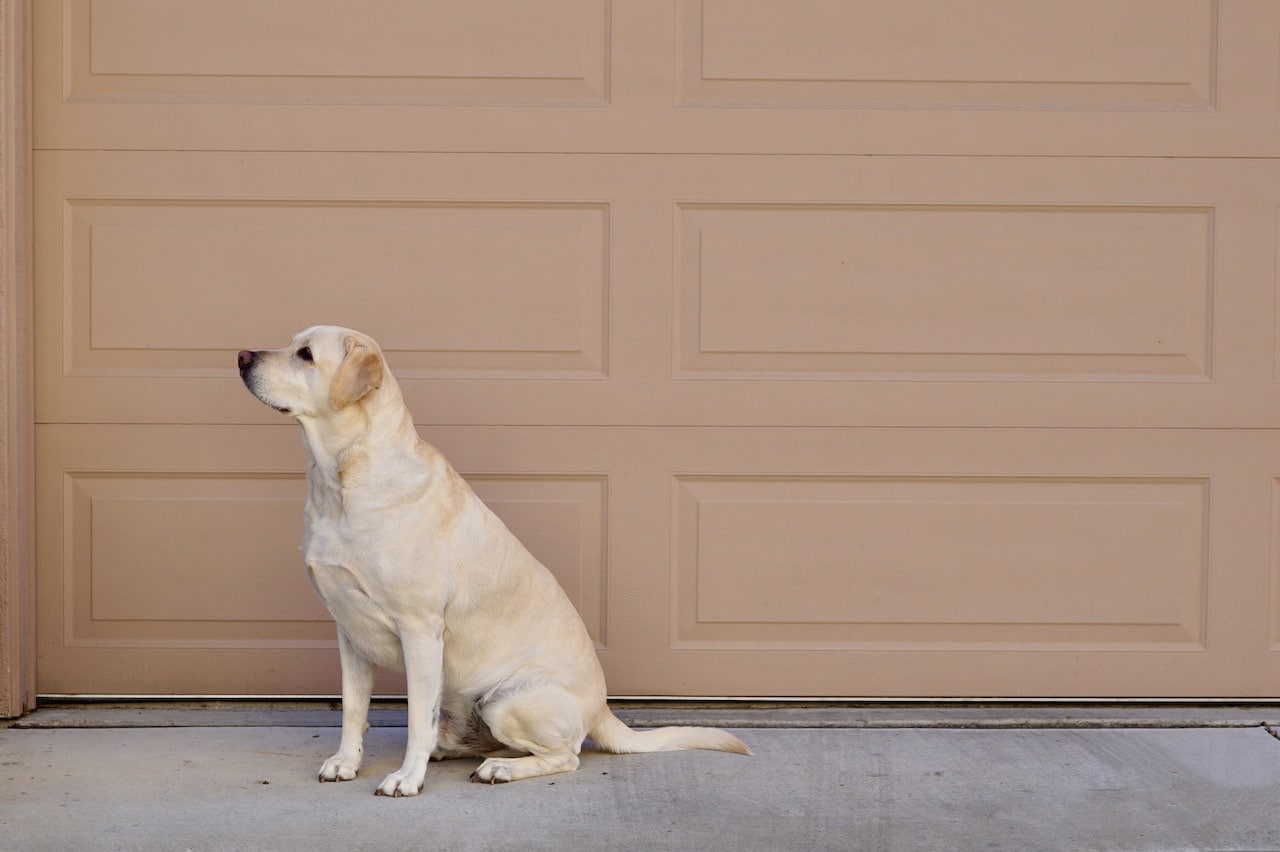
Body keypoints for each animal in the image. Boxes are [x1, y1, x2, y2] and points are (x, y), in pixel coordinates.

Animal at [238, 326, 747, 798]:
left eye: (306, 355)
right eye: (292, 344)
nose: (241, 355)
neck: (340, 483)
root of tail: (603, 708)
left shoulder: (420, 628)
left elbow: (415, 718)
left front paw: (406, 778)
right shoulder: (348, 630)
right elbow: (352, 708)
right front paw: (346, 762)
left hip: (505, 701)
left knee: (566, 755)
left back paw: (500, 768)